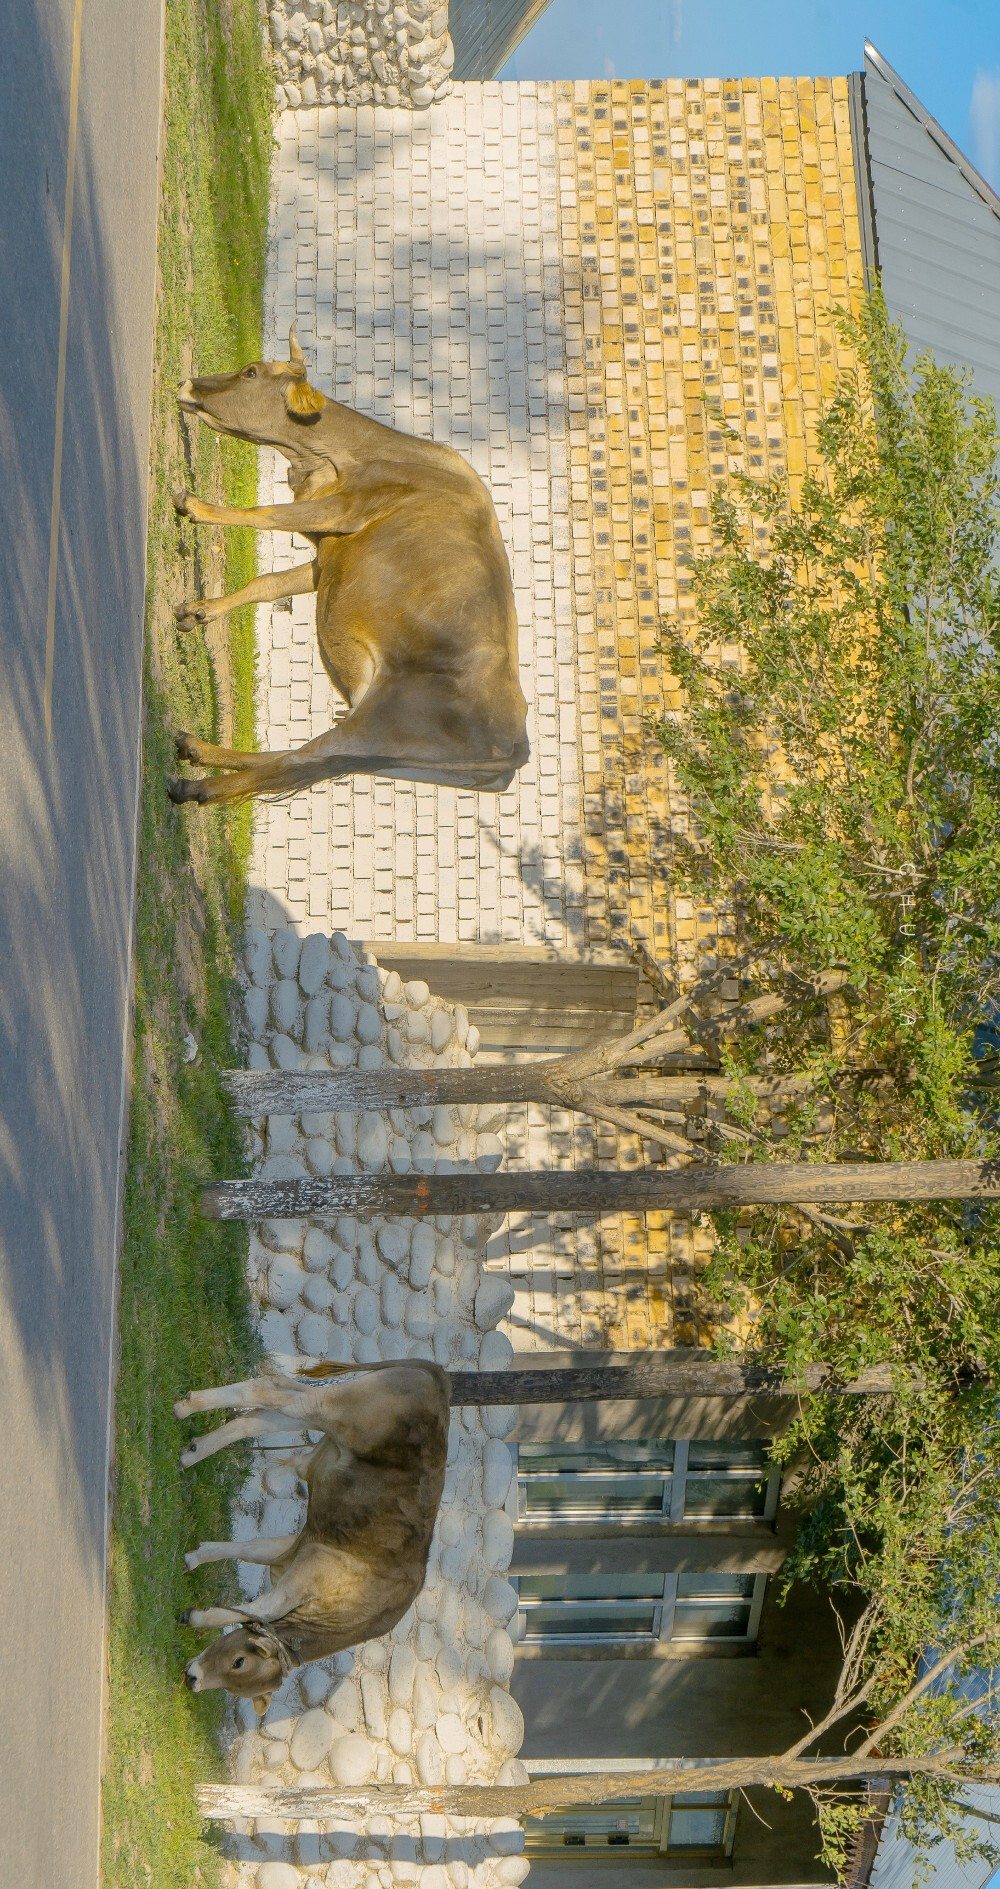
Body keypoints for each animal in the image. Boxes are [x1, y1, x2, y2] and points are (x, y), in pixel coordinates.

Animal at [169, 324, 529, 804]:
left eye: (251, 372)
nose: (186, 384)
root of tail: (516, 744)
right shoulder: (326, 556)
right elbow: (266, 583)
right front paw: (197, 612)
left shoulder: (344, 509)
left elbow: (264, 514)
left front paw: (195, 507)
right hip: (380, 757)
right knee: (300, 759)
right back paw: (195, 751)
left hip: (376, 724)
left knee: (291, 763)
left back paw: (195, 786)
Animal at [175, 1360, 448, 1715]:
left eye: (237, 1668)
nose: (193, 1679)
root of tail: (437, 1376)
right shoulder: (312, 1565)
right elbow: (264, 1609)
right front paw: (196, 1615)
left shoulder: (299, 1545)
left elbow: (251, 1549)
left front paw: (195, 1558)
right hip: (335, 1409)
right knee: (272, 1389)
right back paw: (186, 1407)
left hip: (328, 1421)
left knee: (262, 1413)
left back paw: (192, 1451)